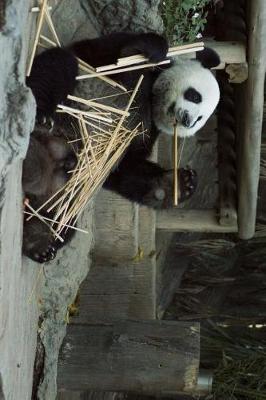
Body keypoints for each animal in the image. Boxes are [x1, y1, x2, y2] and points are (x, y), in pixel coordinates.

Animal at [23, 31, 220, 262]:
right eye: (195, 96)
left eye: (200, 119)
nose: (187, 120)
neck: (152, 101)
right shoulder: (119, 66)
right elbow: (116, 53)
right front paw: (154, 49)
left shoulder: (142, 133)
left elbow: (125, 169)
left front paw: (180, 183)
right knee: (60, 65)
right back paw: (41, 117)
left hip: (67, 191)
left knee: (61, 220)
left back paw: (38, 240)